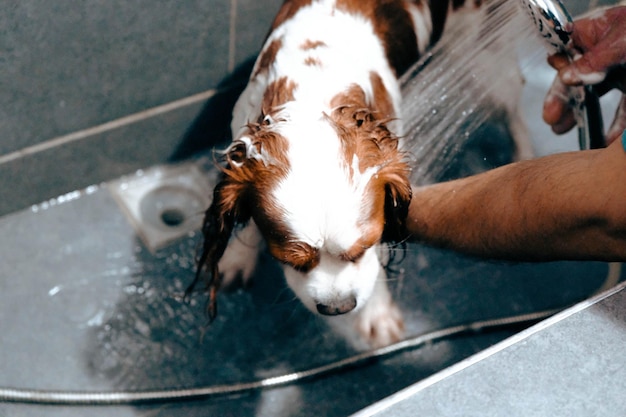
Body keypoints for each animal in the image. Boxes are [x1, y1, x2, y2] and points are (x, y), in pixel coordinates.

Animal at [190, 0, 528, 346]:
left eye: (363, 248)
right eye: (291, 260)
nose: (338, 307)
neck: (314, 93)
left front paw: (376, 314)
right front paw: (236, 256)